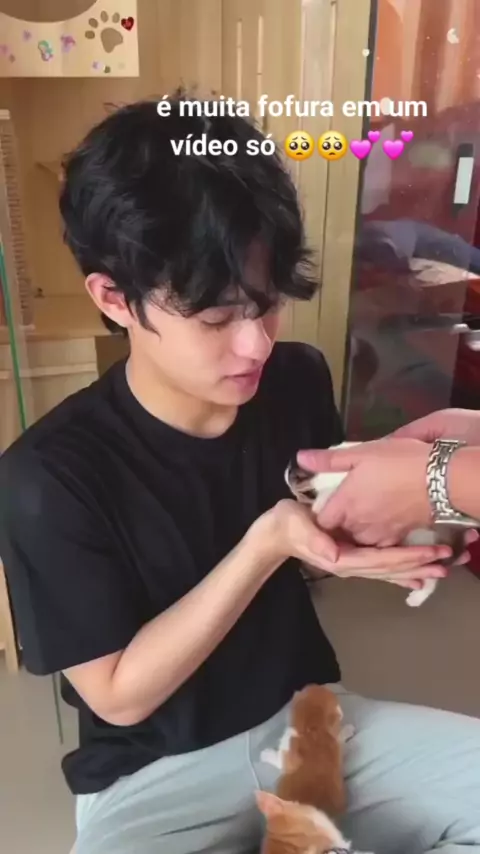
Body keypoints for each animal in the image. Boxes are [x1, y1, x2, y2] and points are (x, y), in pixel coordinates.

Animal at [261, 685, 354, 816]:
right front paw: (347, 730)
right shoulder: (334, 743)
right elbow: (338, 739)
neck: (313, 730)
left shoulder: (288, 752)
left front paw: (266, 754)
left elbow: (278, 760)